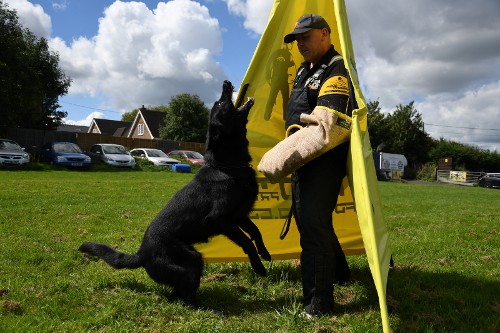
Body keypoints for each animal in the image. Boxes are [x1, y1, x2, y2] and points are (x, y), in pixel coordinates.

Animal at [78, 80, 272, 306]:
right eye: (220, 103)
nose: (226, 83)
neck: (227, 167)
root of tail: (141, 254)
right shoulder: (220, 219)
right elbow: (246, 241)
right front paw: (259, 267)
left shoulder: (239, 215)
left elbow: (256, 232)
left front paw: (265, 253)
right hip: (192, 260)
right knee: (185, 297)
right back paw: (205, 307)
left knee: (177, 294)